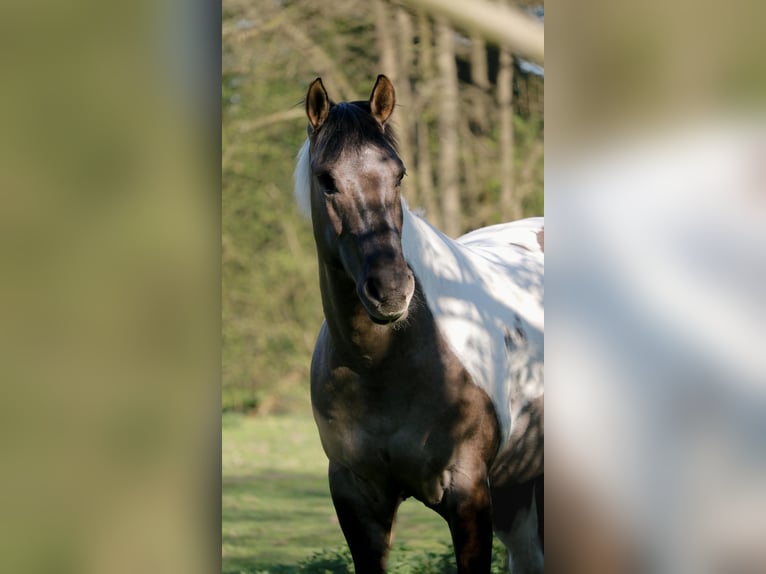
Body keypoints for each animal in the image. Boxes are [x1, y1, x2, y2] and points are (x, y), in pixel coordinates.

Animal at [294, 74, 544, 573]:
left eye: (399, 174)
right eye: (326, 180)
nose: (391, 290)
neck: (383, 366)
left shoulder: (469, 496)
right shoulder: (357, 501)